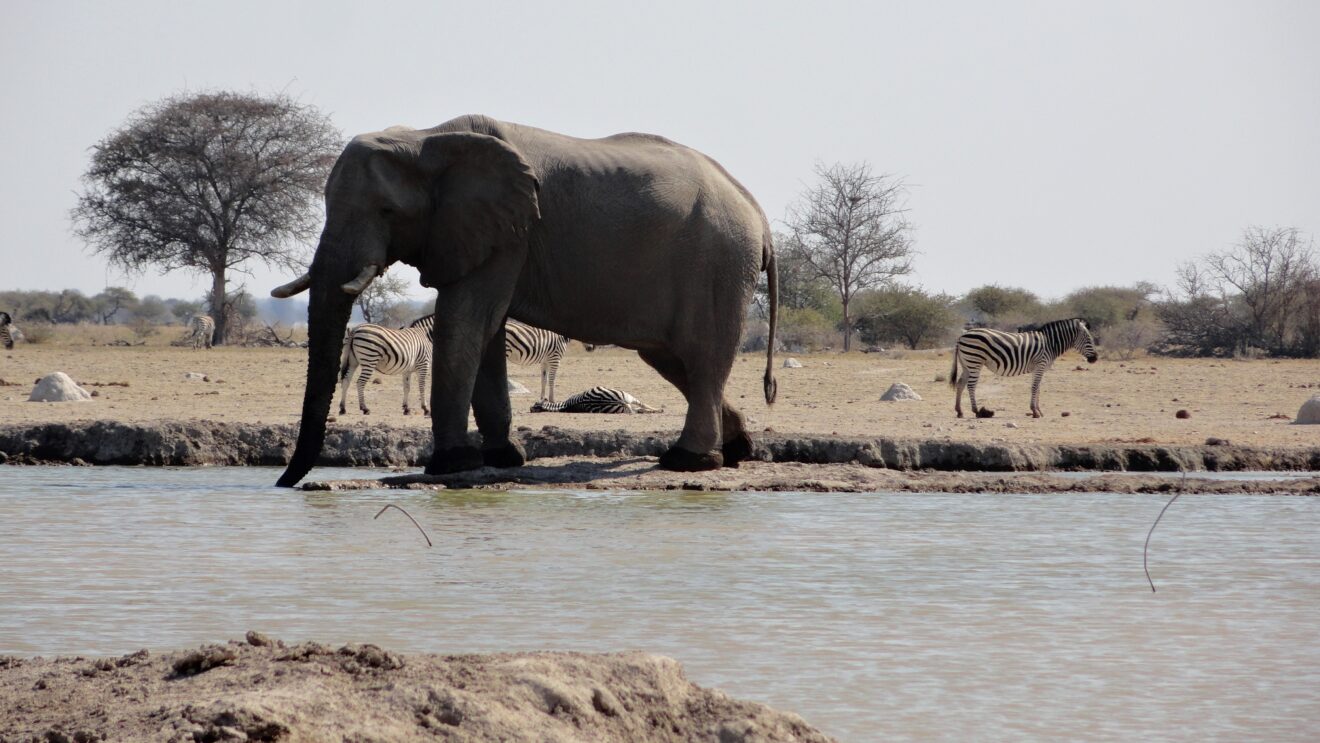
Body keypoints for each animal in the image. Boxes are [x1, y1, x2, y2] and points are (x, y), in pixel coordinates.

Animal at [950, 317, 1097, 418]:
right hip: (975, 361)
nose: (1095, 358)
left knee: (960, 384)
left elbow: (1038, 388)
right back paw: (977, 411)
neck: (1050, 343)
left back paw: (959, 411)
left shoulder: (1039, 368)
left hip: (967, 363)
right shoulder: (1040, 364)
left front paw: (1039, 411)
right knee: (971, 385)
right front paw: (1034, 411)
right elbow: (1035, 387)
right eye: (1088, 339)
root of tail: (962, 335)